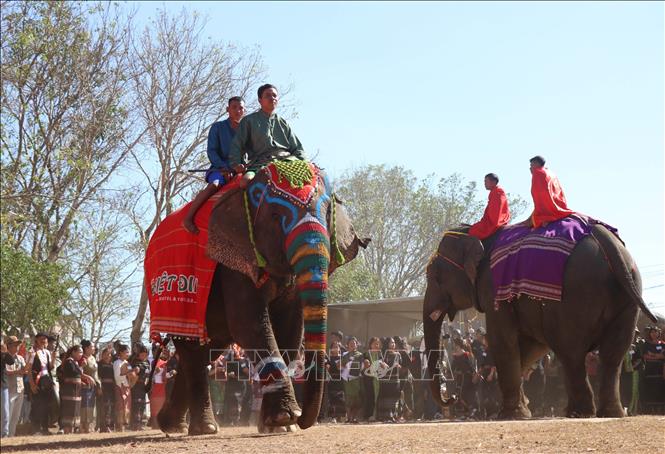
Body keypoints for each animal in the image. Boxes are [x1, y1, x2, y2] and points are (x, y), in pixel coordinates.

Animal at [156, 161, 368, 434]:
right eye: (276, 217)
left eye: (328, 212)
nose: (304, 419)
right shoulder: (234, 263)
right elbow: (250, 324)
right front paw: (286, 418)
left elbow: (290, 328)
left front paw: (278, 426)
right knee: (193, 350)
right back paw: (202, 428)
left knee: (207, 351)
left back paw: (174, 425)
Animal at [422, 223, 656, 418]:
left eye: (435, 276)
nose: (451, 396)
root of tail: (605, 237)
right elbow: (532, 345)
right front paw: (524, 406)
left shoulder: (495, 290)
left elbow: (503, 341)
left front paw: (510, 414)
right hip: (627, 295)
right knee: (613, 354)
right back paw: (610, 413)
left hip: (575, 296)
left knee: (571, 352)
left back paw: (577, 413)